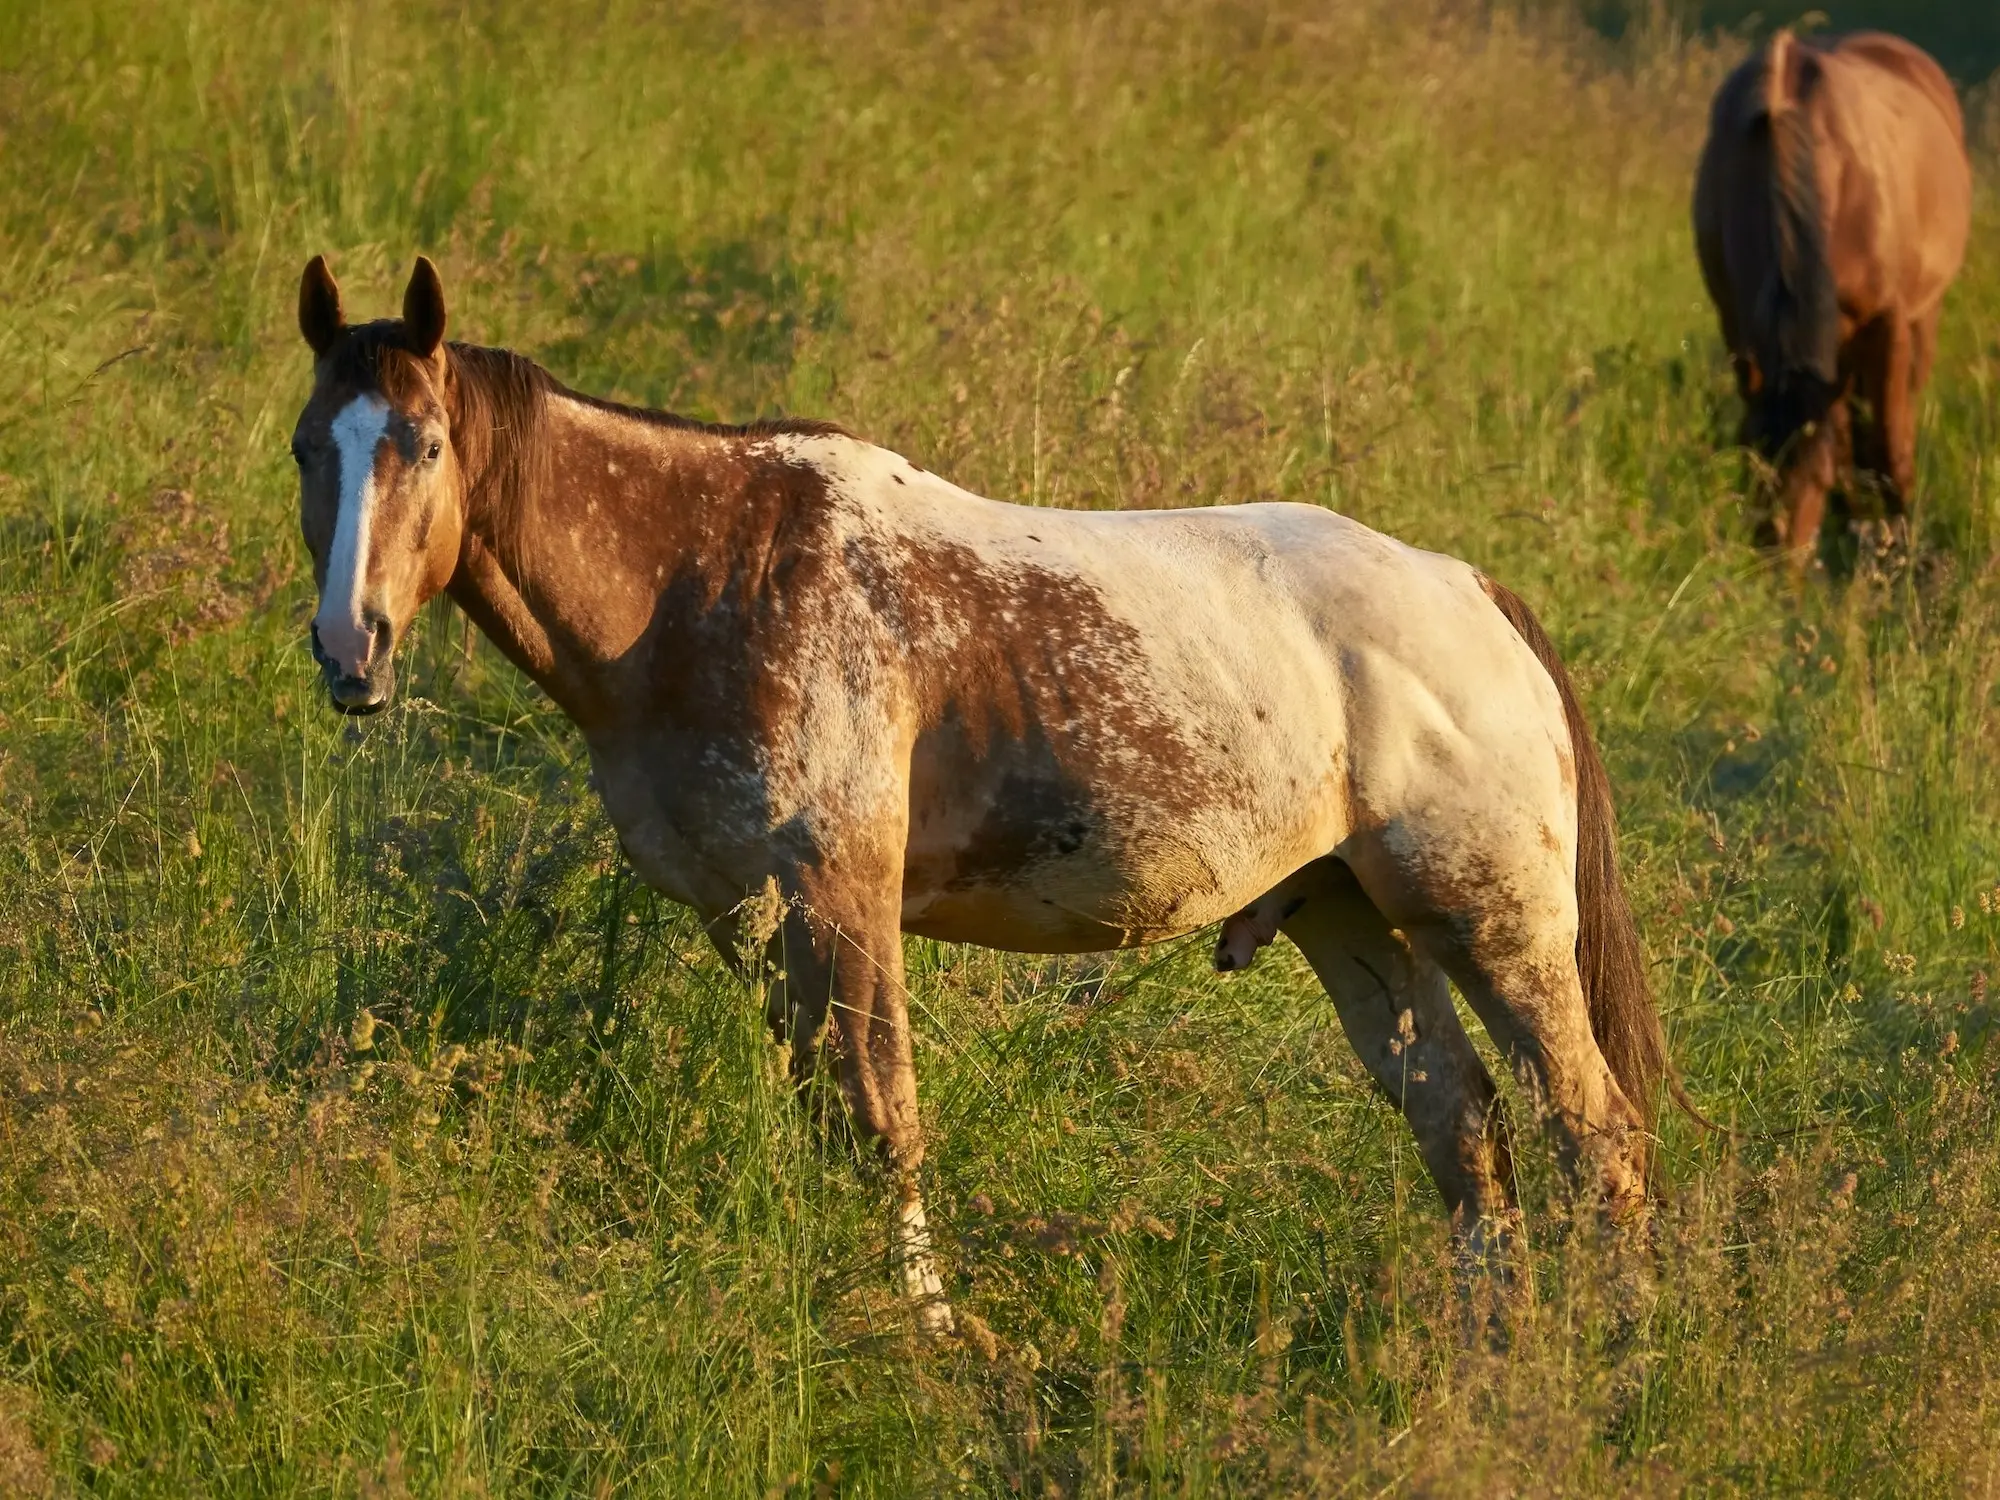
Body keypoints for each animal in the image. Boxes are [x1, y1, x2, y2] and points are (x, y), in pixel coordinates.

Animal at [292, 253, 1672, 1336]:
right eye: (310, 449)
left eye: (423, 446)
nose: (350, 649)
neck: (707, 575)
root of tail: (1470, 591)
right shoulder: (749, 921)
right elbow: (826, 1124)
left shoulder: (840, 902)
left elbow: (880, 1124)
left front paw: (933, 1343)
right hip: (1349, 920)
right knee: (1461, 1123)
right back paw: (1488, 1352)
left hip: (1490, 926)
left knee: (1591, 1131)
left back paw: (1613, 1349)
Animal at [1696, 29, 1976, 568]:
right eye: (1753, 467)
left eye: (1817, 479)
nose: (1778, 569)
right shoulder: (1738, 327)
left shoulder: (1888, 324)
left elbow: (1890, 447)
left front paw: (1901, 543)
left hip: (1921, 318)